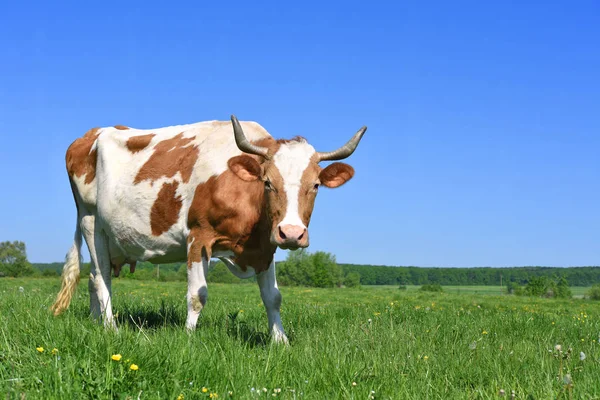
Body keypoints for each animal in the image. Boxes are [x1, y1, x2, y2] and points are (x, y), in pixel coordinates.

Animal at [51, 116, 368, 344]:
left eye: (315, 185)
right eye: (267, 182)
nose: (291, 233)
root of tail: (90, 134)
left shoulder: (266, 248)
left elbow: (273, 298)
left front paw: (280, 341)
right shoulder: (198, 236)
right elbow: (197, 295)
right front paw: (189, 337)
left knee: (93, 277)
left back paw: (96, 323)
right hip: (90, 220)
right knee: (102, 277)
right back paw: (111, 327)